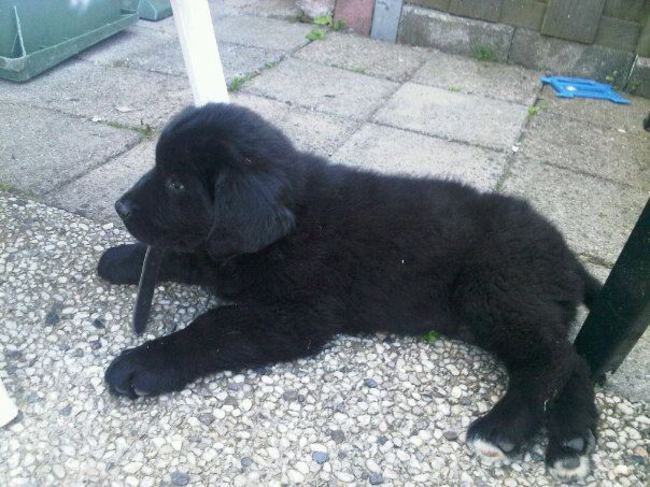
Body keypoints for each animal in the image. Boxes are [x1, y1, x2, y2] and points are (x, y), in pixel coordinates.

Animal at [98, 103, 601, 481]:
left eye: (177, 183)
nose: (120, 206)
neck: (289, 224)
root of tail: (566, 254)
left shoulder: (298, 316)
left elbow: (215, 323)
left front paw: (144, 363)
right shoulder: (218, 254)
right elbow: (186, 254)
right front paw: (122, 259)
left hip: (495, 291)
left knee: (551, 358)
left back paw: (502, 428)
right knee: (574, 359)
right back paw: (571, 441)